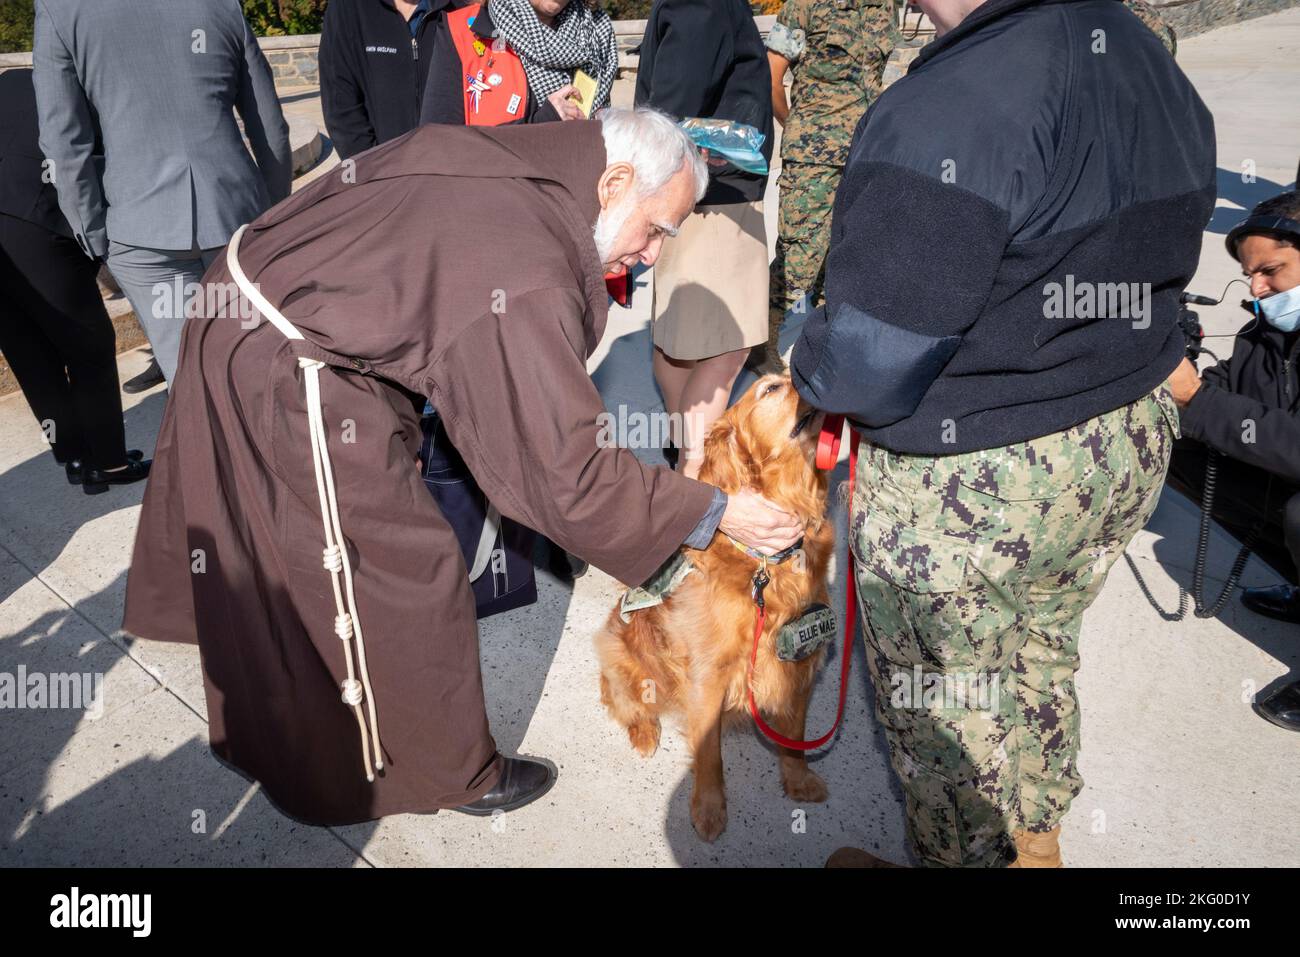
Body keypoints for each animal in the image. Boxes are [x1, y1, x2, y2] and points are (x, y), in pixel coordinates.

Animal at [595, 374, 832, 837]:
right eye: (771, 389)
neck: (765, 565)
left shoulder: (798, 659)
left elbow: (795, 735)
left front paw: (797, 780)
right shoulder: (708, 676)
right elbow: (709, 754)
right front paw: (708, 808)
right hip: (619, 653)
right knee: (624, 701)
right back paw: (644, 733)